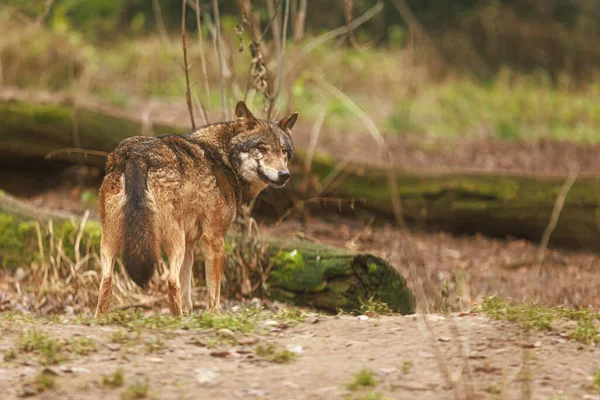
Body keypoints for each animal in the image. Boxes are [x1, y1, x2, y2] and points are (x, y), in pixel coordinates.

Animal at [94, 101, 298, 318]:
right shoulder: (214, 241)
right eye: (262, 148)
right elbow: (214, 297)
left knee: (106, 282)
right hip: (173, 242)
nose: (284, 174)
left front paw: (190, 316)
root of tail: (136, 155)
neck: (225, 158)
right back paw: (176, 320)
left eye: (283, 151)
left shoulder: (191, 244)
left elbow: (187, 295)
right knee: (171, 281)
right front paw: (215, 318)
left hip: (113, 242)